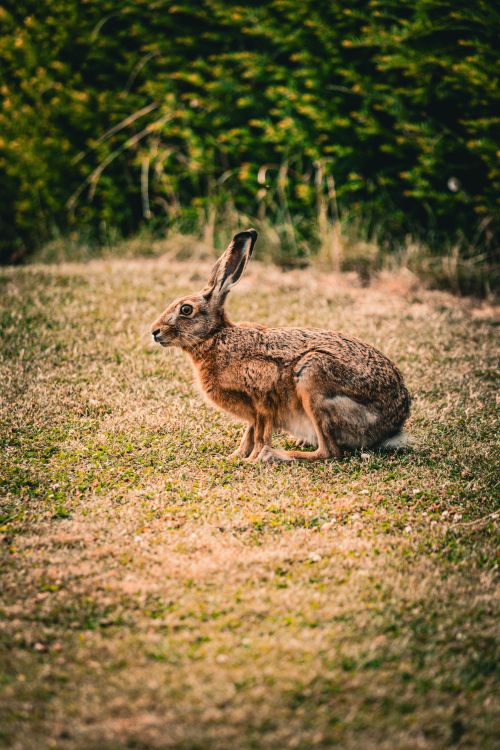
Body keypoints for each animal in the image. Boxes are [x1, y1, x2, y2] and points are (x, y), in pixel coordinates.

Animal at [151, 229, 411, 462]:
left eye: (186, 309)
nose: (155, 331)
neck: (215, 337)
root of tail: (392, 425)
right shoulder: (254, 412)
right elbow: (249, 433)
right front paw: (234, 456)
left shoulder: (262, 396)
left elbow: (260, 433)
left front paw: (251, 459)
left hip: (313, 377)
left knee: (330, 452)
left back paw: (275, 455)